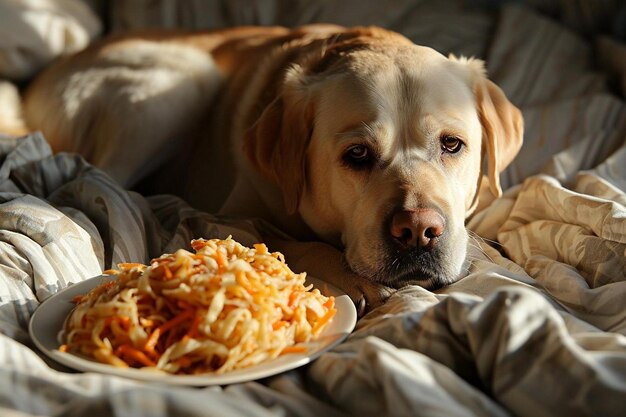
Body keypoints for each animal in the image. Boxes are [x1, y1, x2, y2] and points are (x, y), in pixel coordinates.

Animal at [23, 25, 520, 312]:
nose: (417, 230)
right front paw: (352, 279)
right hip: (183, 81)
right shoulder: (227, 216)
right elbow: (290, 240)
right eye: (357, 155)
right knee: (99, 181)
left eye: (452, 145)